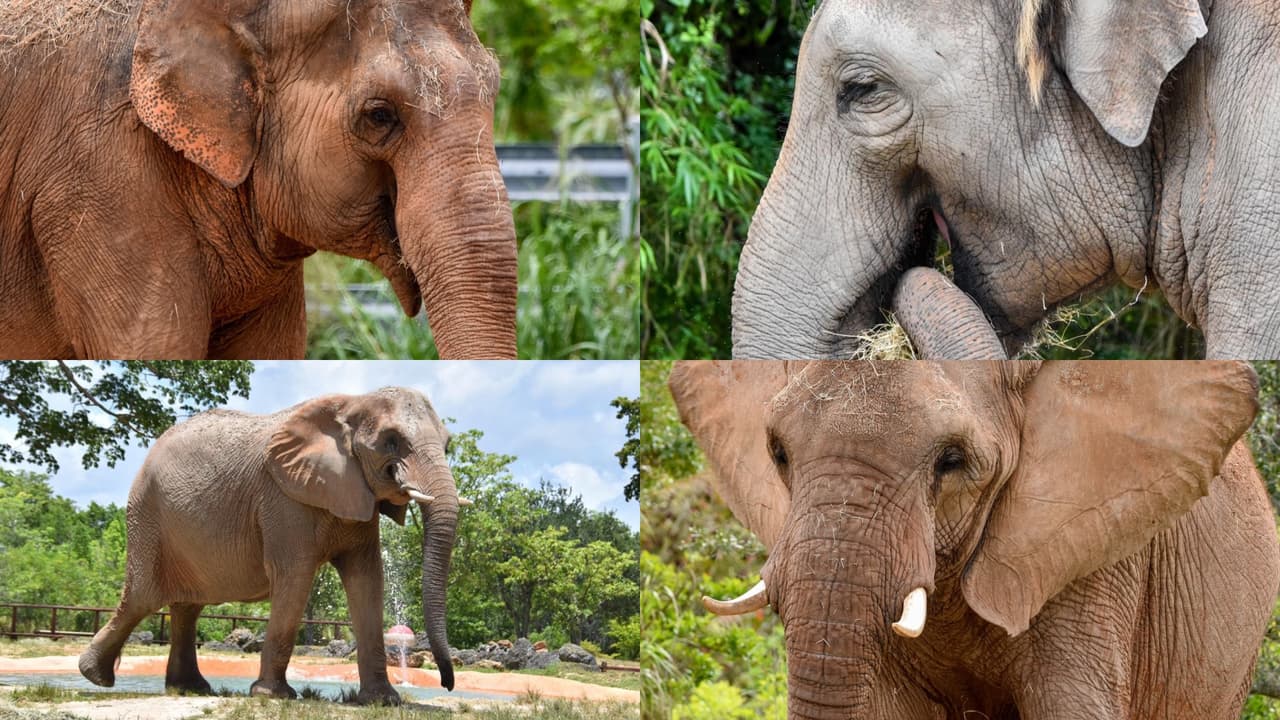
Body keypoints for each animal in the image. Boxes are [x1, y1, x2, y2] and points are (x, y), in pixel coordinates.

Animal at [78, 387, 463, 704]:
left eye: (447, 446)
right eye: (392, 441)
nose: (447, 684)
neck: (353, 402)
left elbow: (367, 579)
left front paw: (382, 702)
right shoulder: (283, 497)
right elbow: (295, 575)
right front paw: (273, 696)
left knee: (188, 606)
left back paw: (188, 688)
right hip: (147, 515)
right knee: (142, 598)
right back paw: (95, 676)